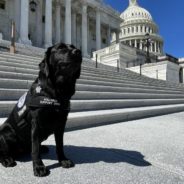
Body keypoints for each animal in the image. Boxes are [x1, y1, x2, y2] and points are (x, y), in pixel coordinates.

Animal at [0, 43, 82, 177]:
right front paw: (38, 167)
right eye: (61, 48)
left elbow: (60, 145)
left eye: (73, 46)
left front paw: (63, 160)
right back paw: (7, 159)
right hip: (6, 132)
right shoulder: (36, 123)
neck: (56, 92)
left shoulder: (61, 124)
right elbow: (35, 149)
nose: (79, 52)